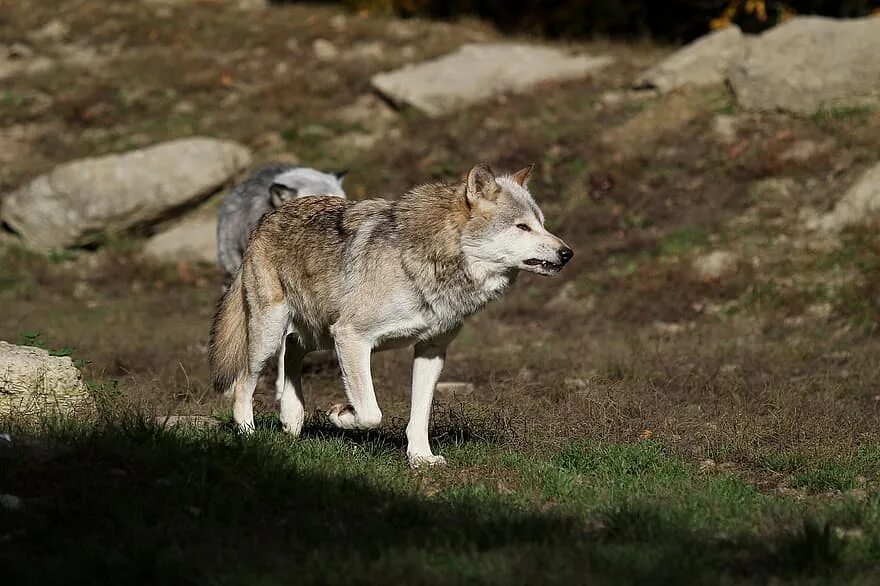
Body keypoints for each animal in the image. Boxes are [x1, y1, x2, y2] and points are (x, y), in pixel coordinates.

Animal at [210, 163, 576, 466]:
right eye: (522, 227)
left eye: (542, 224)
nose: (567, 253)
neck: (432, 258)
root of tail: (267, 217)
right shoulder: (352, 337)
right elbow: (371, 413)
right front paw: (341, 415)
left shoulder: (431, 350)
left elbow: (420, 416)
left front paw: (421, 459)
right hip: (271, 335)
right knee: (244, 382)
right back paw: (249, 434)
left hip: (317, 334)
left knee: (292, 351)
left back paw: (291, 417)